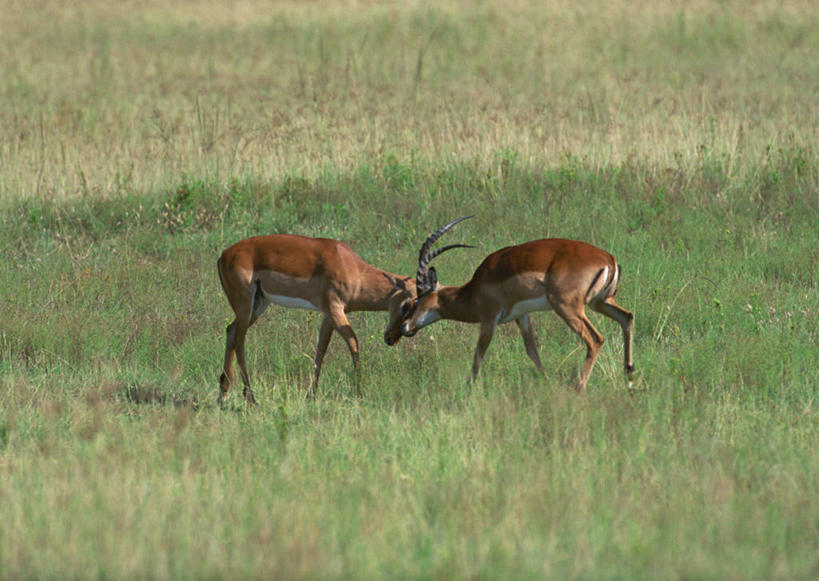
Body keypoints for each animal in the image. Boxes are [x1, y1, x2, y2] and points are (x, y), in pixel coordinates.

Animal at [216, 221, 474, 404]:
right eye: (408, 304)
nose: (391, 337)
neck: (351, 267)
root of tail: (224, 254)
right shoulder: (335, 308)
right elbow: (353, 342)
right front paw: (359, 391)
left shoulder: (327, 314)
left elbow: (321, 350)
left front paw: (311, 395)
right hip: (245, 302)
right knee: (240, 340)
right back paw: (251, 398)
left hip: (259, 304)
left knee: (230, 330)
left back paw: (223, 394)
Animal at [400, 220, 636, 392]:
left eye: (415, 301)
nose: (405, 327)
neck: (475, 289)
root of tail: (609, 259)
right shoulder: (521, 316)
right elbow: (532, 351)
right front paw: (546, 382)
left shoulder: (489, 319)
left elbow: (478, 355)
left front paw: (468, 389)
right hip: (600, 302)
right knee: (627, 317)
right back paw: (629, 376)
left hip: (568, 308)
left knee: (595, 339)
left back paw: (579, 388)